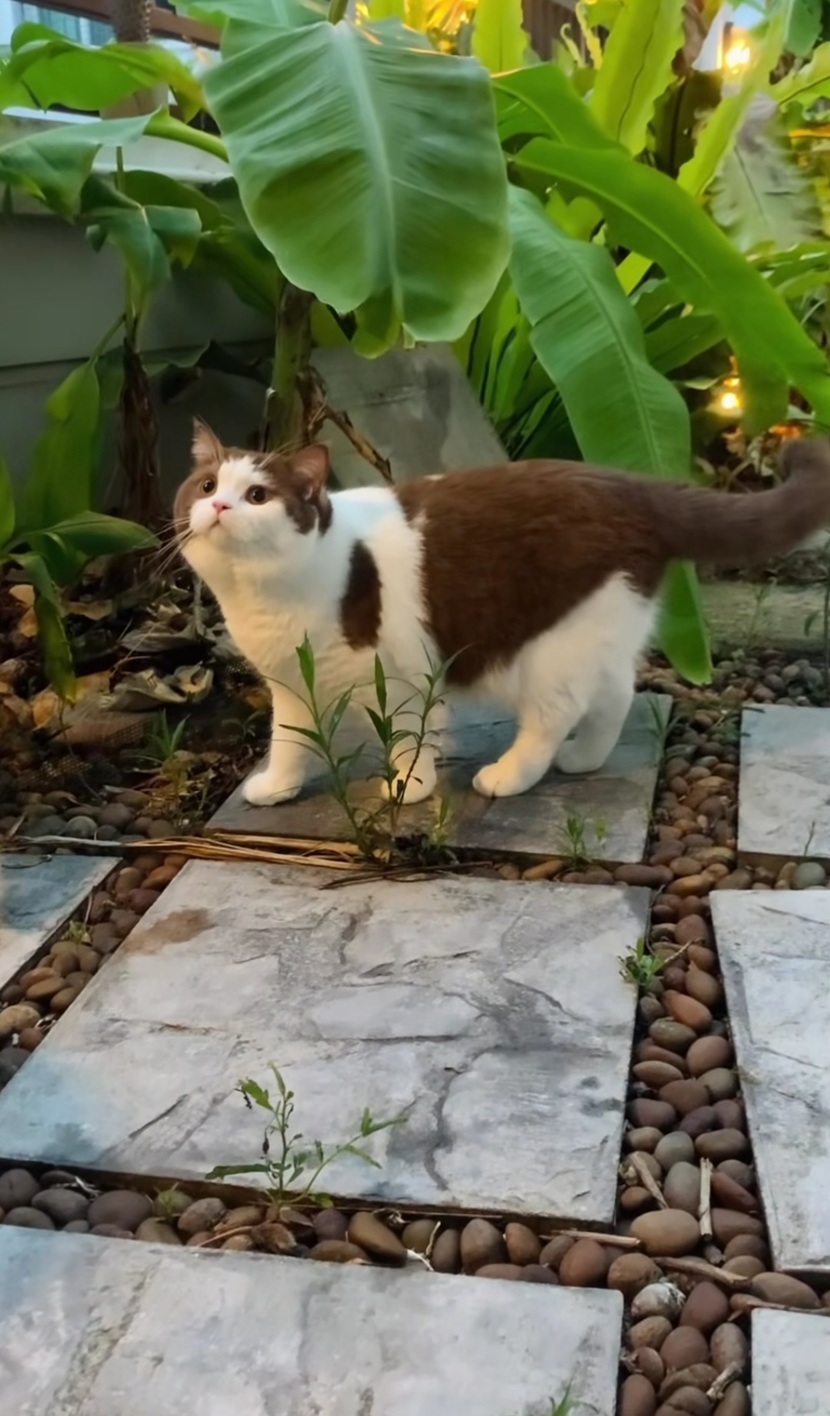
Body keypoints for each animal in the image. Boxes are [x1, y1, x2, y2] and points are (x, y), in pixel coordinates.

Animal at [174, 421, 830, 807]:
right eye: (206, 485)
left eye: (258, 496)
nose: (220, 506)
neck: (270, 594)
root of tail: (634, 485)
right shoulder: (291, 684)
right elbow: (289, 739)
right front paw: (278, 785)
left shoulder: (406, 675)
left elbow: (409, 736)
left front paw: (409, 787)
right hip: (596, 623)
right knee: (616, 692)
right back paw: (585, 760)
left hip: (548, 652)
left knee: (553, 713)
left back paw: (510, 774)